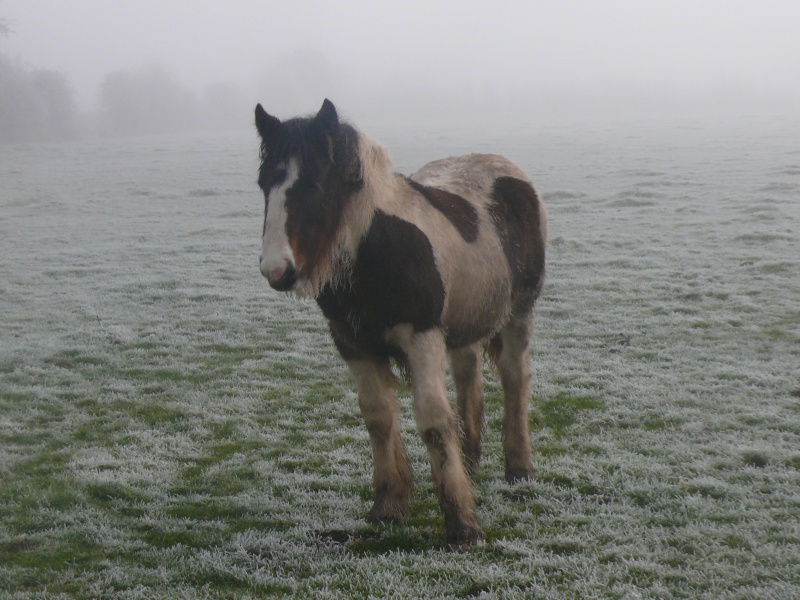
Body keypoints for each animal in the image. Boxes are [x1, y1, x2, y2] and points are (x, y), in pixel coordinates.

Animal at [253, 98, 548, 548]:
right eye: (264, 184)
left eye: (316, 184)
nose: (276, 269)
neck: (375, 248)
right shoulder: (353, 344)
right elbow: (378, 417)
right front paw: (388, 505)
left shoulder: (420, 336)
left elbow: (433, 420)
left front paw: (462, 524)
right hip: (464, 322)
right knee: (469, 377)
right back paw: (470, 460)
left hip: (519, 312)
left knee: (515, 378)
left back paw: (518, 468)